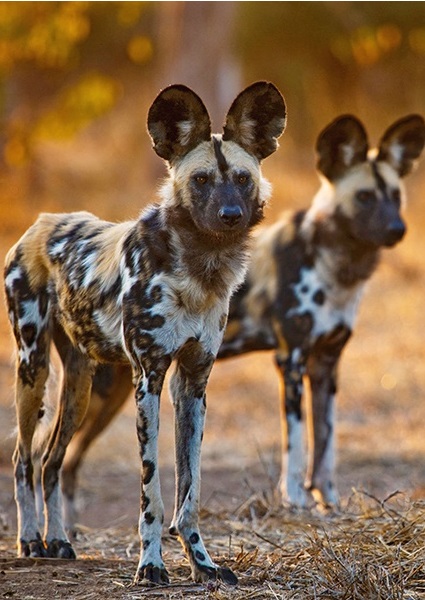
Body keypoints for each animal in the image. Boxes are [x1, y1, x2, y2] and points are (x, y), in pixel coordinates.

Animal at [2, 82, 284, 584]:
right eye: (201, 180)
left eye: (242, 179)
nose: (230, 214)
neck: (199, 269)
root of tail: (41, 221)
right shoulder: (148, 380)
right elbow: (152, 492)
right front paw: (151, 565)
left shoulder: (193, 384)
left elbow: (190, 491)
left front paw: (202, 563)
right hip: (32, 369)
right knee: (23, 460)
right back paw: (30, 540)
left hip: (79, 387)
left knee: (52, 461)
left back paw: (59, 541)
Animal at [53, 111, 424, 524]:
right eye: (364, 197)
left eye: (396, 197)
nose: (397, 229)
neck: (333, 264)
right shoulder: (291, 360)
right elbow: (296, 446)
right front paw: (296, 501)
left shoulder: (326, 365)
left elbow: (325, 447)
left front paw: (330, 504)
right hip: (102, 392)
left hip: (113, 391)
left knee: (68, 462)